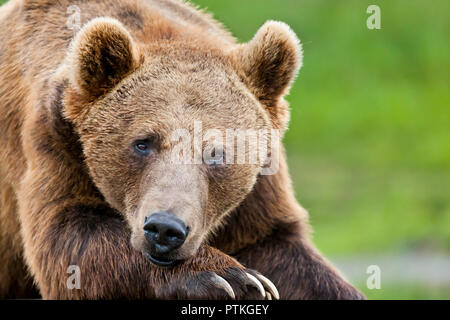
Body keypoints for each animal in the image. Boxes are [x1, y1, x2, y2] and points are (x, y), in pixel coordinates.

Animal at [0, 0, 364, 300]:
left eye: (217, 153)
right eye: (142, 143)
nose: (165, 228)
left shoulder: (260, 186)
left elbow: (277, 245)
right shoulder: (53, 139)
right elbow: (68, 236)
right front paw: (229, 277)